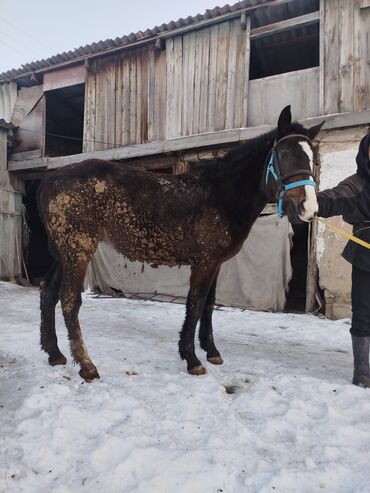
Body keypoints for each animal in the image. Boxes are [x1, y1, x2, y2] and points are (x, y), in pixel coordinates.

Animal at [36, 104, 322, 380]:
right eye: (284, 154)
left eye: (313, 158)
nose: (308, 208)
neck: (220, 195)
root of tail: (50, 180)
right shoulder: (204, 263)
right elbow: (195, 305)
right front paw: (192, 359)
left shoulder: (215, 264)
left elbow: (208, 305)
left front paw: (211, 351)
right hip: (77, 249)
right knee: (69, 300)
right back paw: (86, 366)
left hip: (64, 252)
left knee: (48, 292)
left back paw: (55, 354)